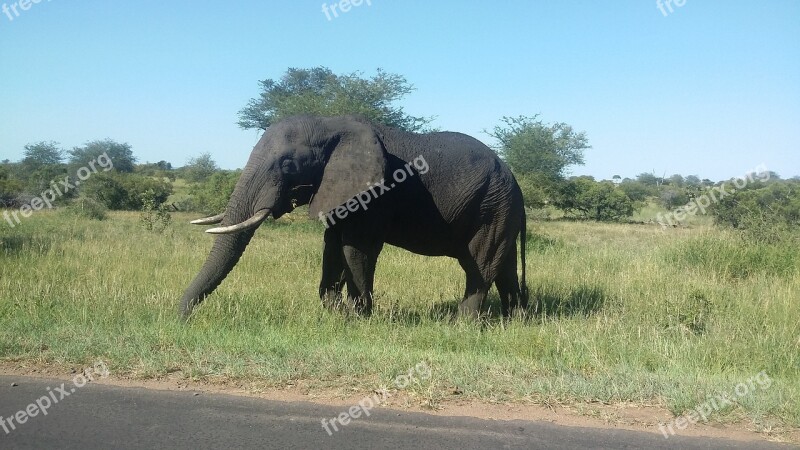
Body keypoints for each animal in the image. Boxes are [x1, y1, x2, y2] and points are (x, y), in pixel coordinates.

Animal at [182, 116, 532, 320]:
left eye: (288, 165)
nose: (183, 319)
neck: (331, 125)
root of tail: (516, 183)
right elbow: (332, 245)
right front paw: (336, 314)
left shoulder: (374, 195)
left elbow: (357, 249)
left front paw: (360, 317)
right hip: (499, 209)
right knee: (503, 265)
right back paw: (514, 320)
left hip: (492, 206)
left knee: (479, 266)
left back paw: (460, 324)